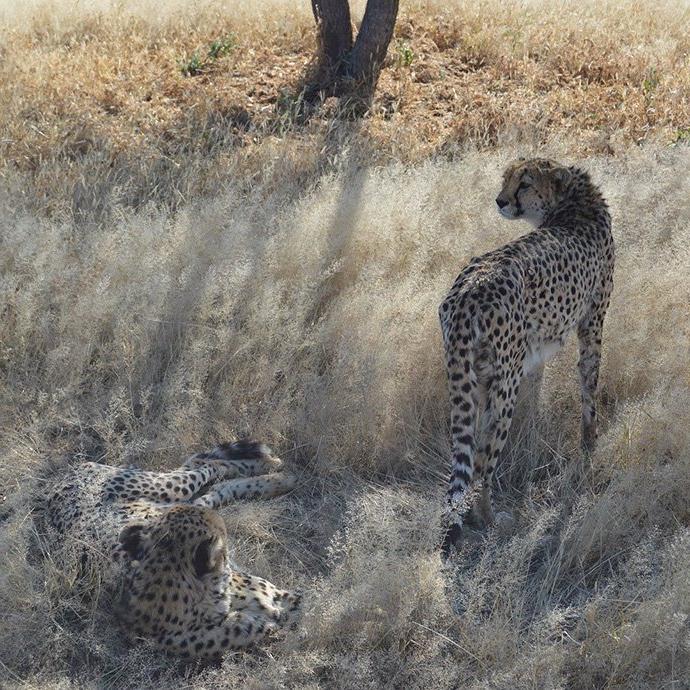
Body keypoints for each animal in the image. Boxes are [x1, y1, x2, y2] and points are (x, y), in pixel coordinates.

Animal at [39, 440, 300, 656]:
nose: (219, 522)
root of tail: (59, 481)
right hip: (172, 495)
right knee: (210, 481)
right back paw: (276, 474)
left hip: (168, 490)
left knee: (206, 466)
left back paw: (273, 469)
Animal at [438, 156, 612, 548]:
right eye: (507, 179)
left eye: (524, 183)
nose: (500, 200)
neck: (572, 201)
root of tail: (468, 290)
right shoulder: (592, 323)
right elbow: (589, 387)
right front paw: (590, 445)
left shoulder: (533, 355)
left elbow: (536, 398)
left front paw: (535, 445)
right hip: (503, 383)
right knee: (482, 463)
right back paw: (489, 519)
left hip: (474, 377)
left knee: (469, 450)